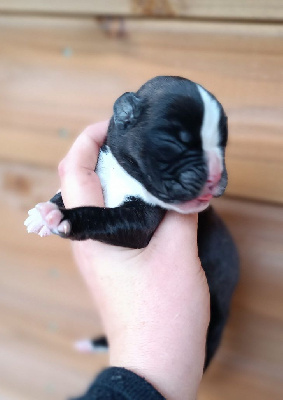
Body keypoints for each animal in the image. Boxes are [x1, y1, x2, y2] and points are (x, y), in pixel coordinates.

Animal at [25, 75, 241, 368]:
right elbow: (64, 195)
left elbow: (100, 216)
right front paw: (42, 213)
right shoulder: (99, 172)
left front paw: (63, 217)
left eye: (222, 144)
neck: (124, 174)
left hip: (216, 315)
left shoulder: (140, 221)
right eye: (175, 142)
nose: (217, 176)